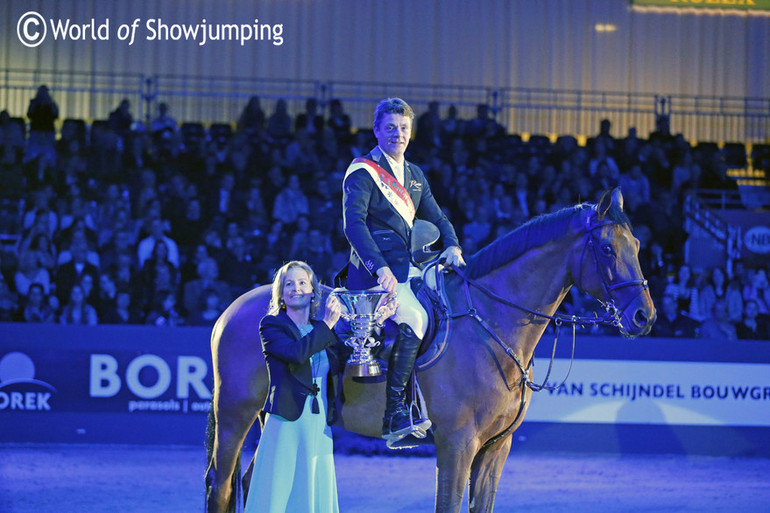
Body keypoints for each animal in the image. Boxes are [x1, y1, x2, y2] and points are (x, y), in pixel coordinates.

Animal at [204, 189, 656, 512]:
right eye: (607, 249)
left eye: (636, 244)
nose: (643, 316)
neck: (488, 323)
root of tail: (232, 310)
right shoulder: (457, 444)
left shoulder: (496, 448)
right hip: (235, 413)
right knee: (219, 484)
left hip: (272, 414)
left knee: (250, 481)